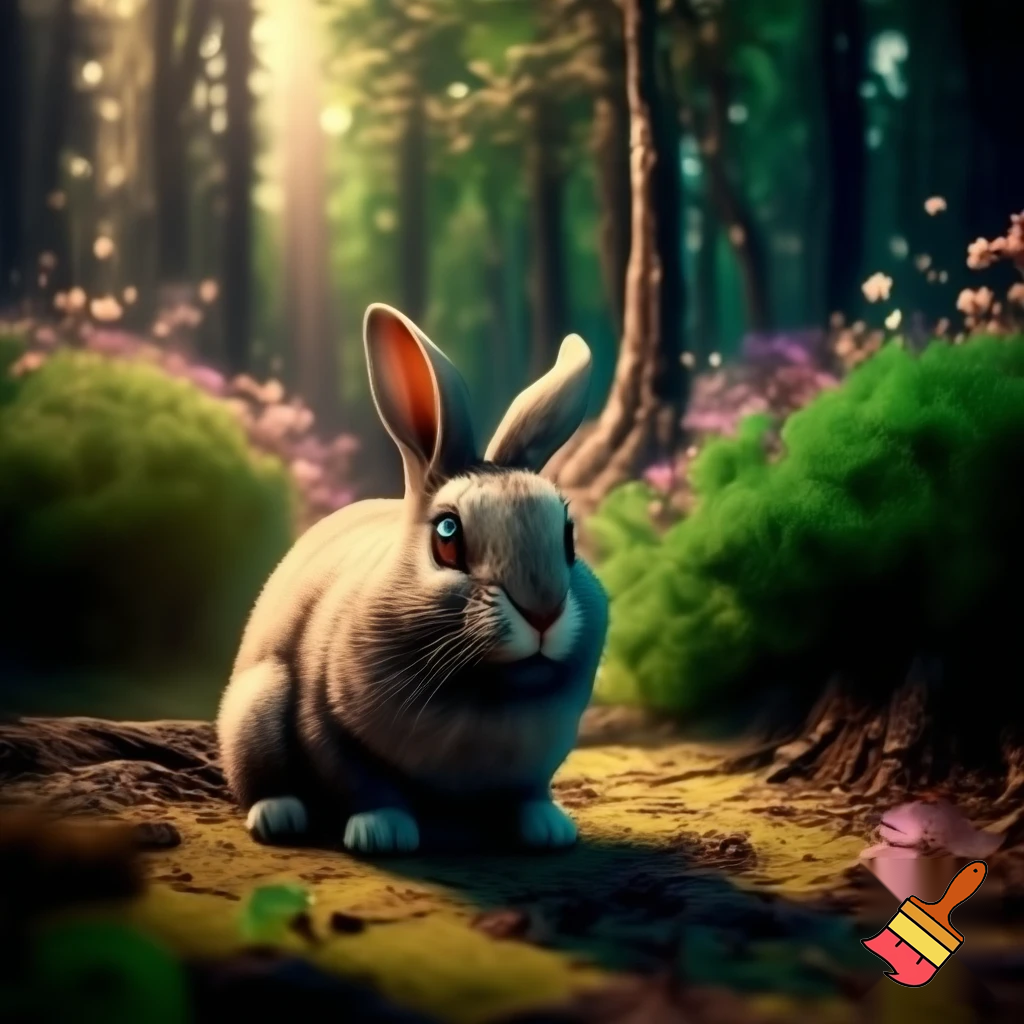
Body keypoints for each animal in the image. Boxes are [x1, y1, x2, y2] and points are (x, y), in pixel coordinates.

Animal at [217, 303, 608, 855]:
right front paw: (382, 833)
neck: (486, 693)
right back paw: (279, 816)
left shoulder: (539, 758)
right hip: (254, 707)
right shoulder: (325, 722)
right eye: (447, 536)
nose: (542, 610)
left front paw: (550, 829)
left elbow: (530, 791)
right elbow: (362, 783)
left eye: (568, 538)